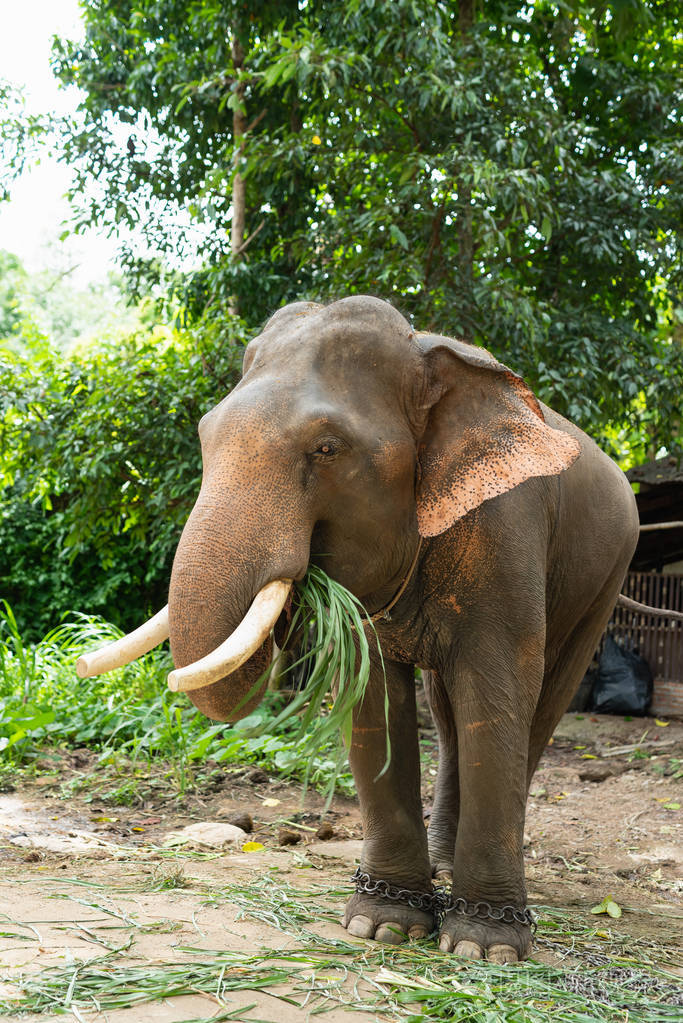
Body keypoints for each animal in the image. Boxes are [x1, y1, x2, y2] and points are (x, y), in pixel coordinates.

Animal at [80, 294, 642, 957]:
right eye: (204, 433)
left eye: (328, 448)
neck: (424, 353)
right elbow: (373, 695)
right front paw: (383, 926)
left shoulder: (507, 526)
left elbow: (498, 688)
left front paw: (484, 946)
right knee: (446, 712)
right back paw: (442, 862)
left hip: (607, 573)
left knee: (544, 699)